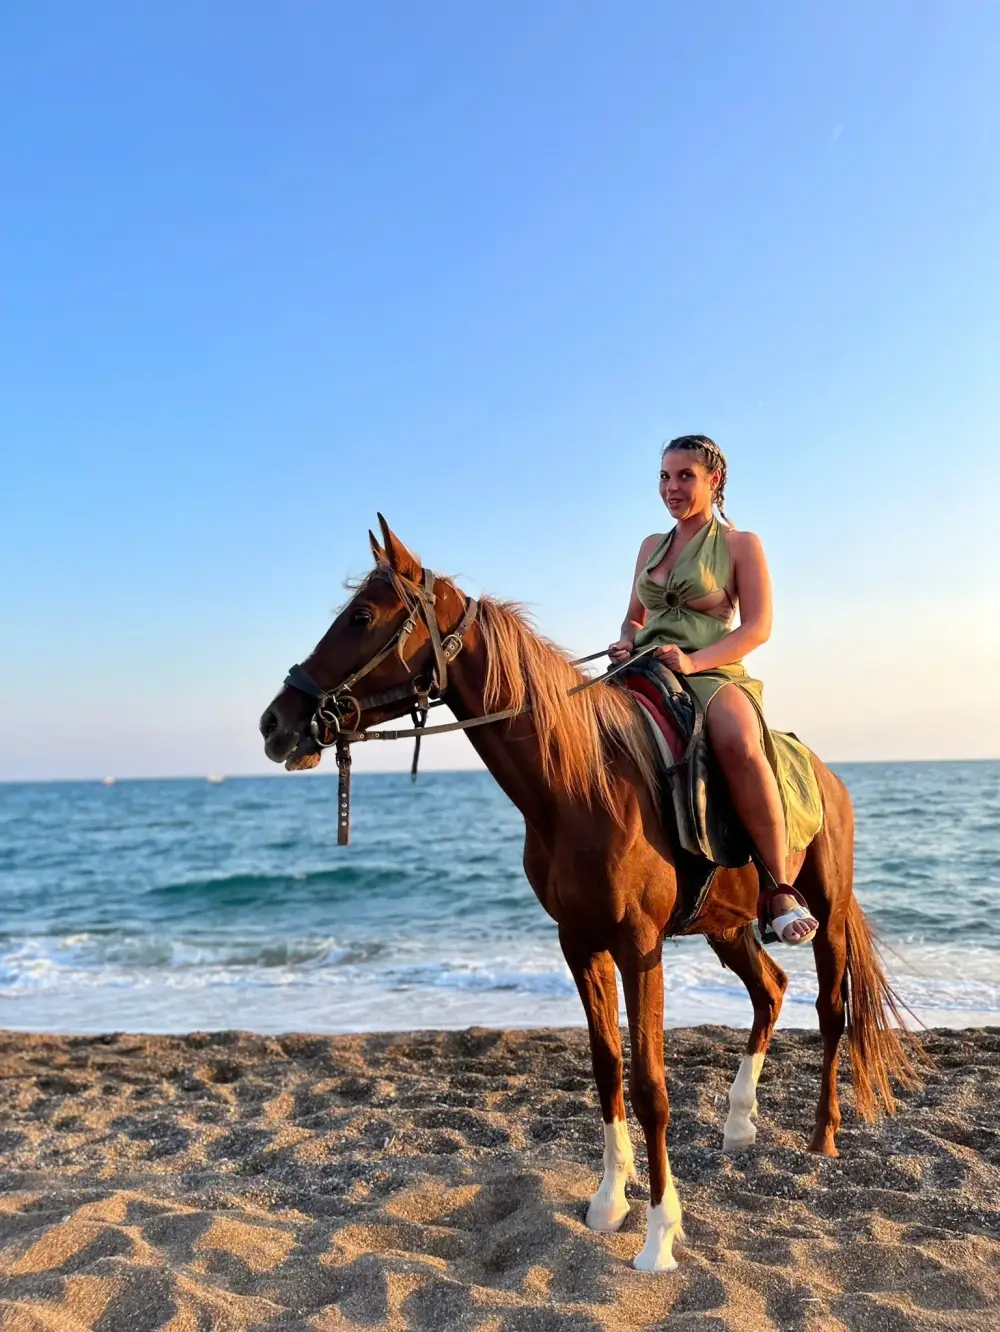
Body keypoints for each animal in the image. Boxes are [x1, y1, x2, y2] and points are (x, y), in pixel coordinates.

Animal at [259, 516, 919, 1272]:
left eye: (363, 616)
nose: (275, 723)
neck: (580, 785)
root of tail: (826, 772)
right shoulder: (579, 944)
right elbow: (606, 1069)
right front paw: (609, 1203)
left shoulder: (639, 948)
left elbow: (651, 1085)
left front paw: (659, 1236)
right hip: (727, 927)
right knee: (771, 992)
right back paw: (739, 1123)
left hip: (826, 914)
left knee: (830, 1011)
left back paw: (823, 1135)